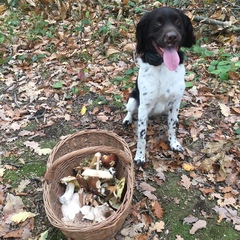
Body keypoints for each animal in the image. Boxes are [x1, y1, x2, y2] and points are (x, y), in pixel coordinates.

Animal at [123, 7, 196, 165]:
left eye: (178, 22)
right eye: (157, 23)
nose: (172, 37)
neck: (163, 65)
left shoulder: (175, 103)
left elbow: (172, 127)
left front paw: (174, 144)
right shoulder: (143, 108)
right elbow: (142, 137)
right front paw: (140, 157)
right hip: (132, 99)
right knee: (130, 111)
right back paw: (127, 119)